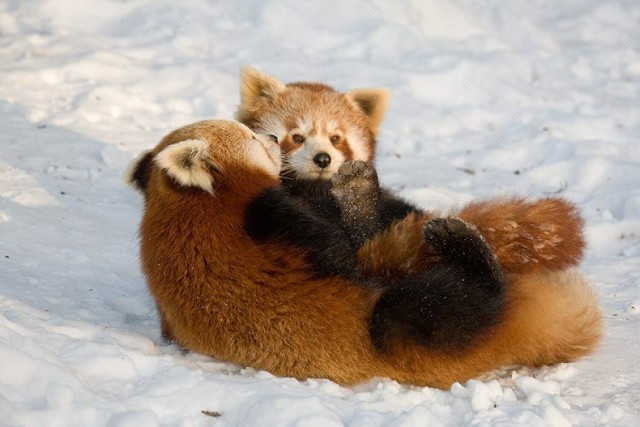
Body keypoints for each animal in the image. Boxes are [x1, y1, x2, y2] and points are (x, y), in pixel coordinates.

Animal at [129, 119, 600, 388]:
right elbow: (336, 250)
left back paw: (362, 195)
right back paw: (463, 247)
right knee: (430, 309)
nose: (273, 136)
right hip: (396, 332)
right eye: (249, 136)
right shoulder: (264, 219)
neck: (189, 205)